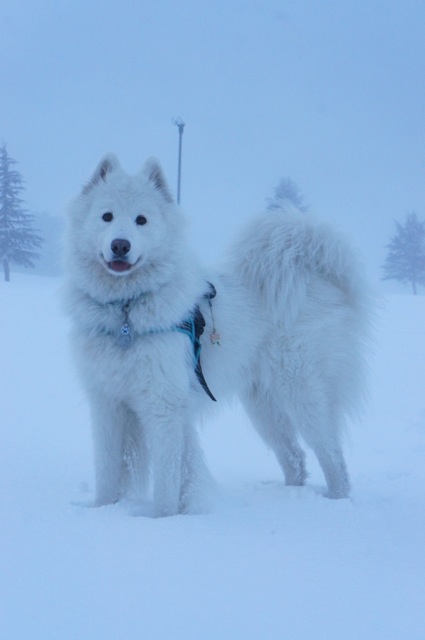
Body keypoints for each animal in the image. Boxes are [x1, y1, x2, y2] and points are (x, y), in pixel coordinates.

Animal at [64, 158, 370, 516]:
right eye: (107, 216)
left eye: (141, 220)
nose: (120, 246)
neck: (127, 312)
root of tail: (319, 278)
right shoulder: (107, 403)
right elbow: (108, 469)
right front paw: (101, 510)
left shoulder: (162, 406)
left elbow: (167, 478)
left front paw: (160, 519)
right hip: (264, 407)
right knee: (295, 457)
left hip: (302, 392)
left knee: (333, 457)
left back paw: (335, 502)